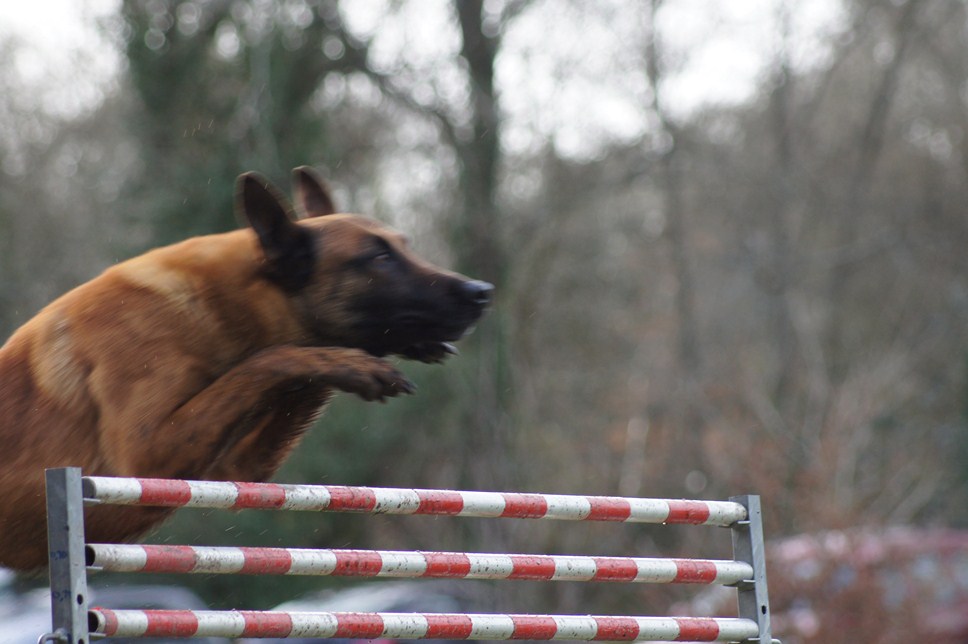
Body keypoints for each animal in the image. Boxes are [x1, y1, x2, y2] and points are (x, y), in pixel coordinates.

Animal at [0, 167, 492, 568]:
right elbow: (269, 359)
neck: (219, 300)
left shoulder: (232, 467)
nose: (482, 291)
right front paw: (356, 365)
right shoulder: (148, 455)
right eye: (380, 258)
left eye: (404, 248)